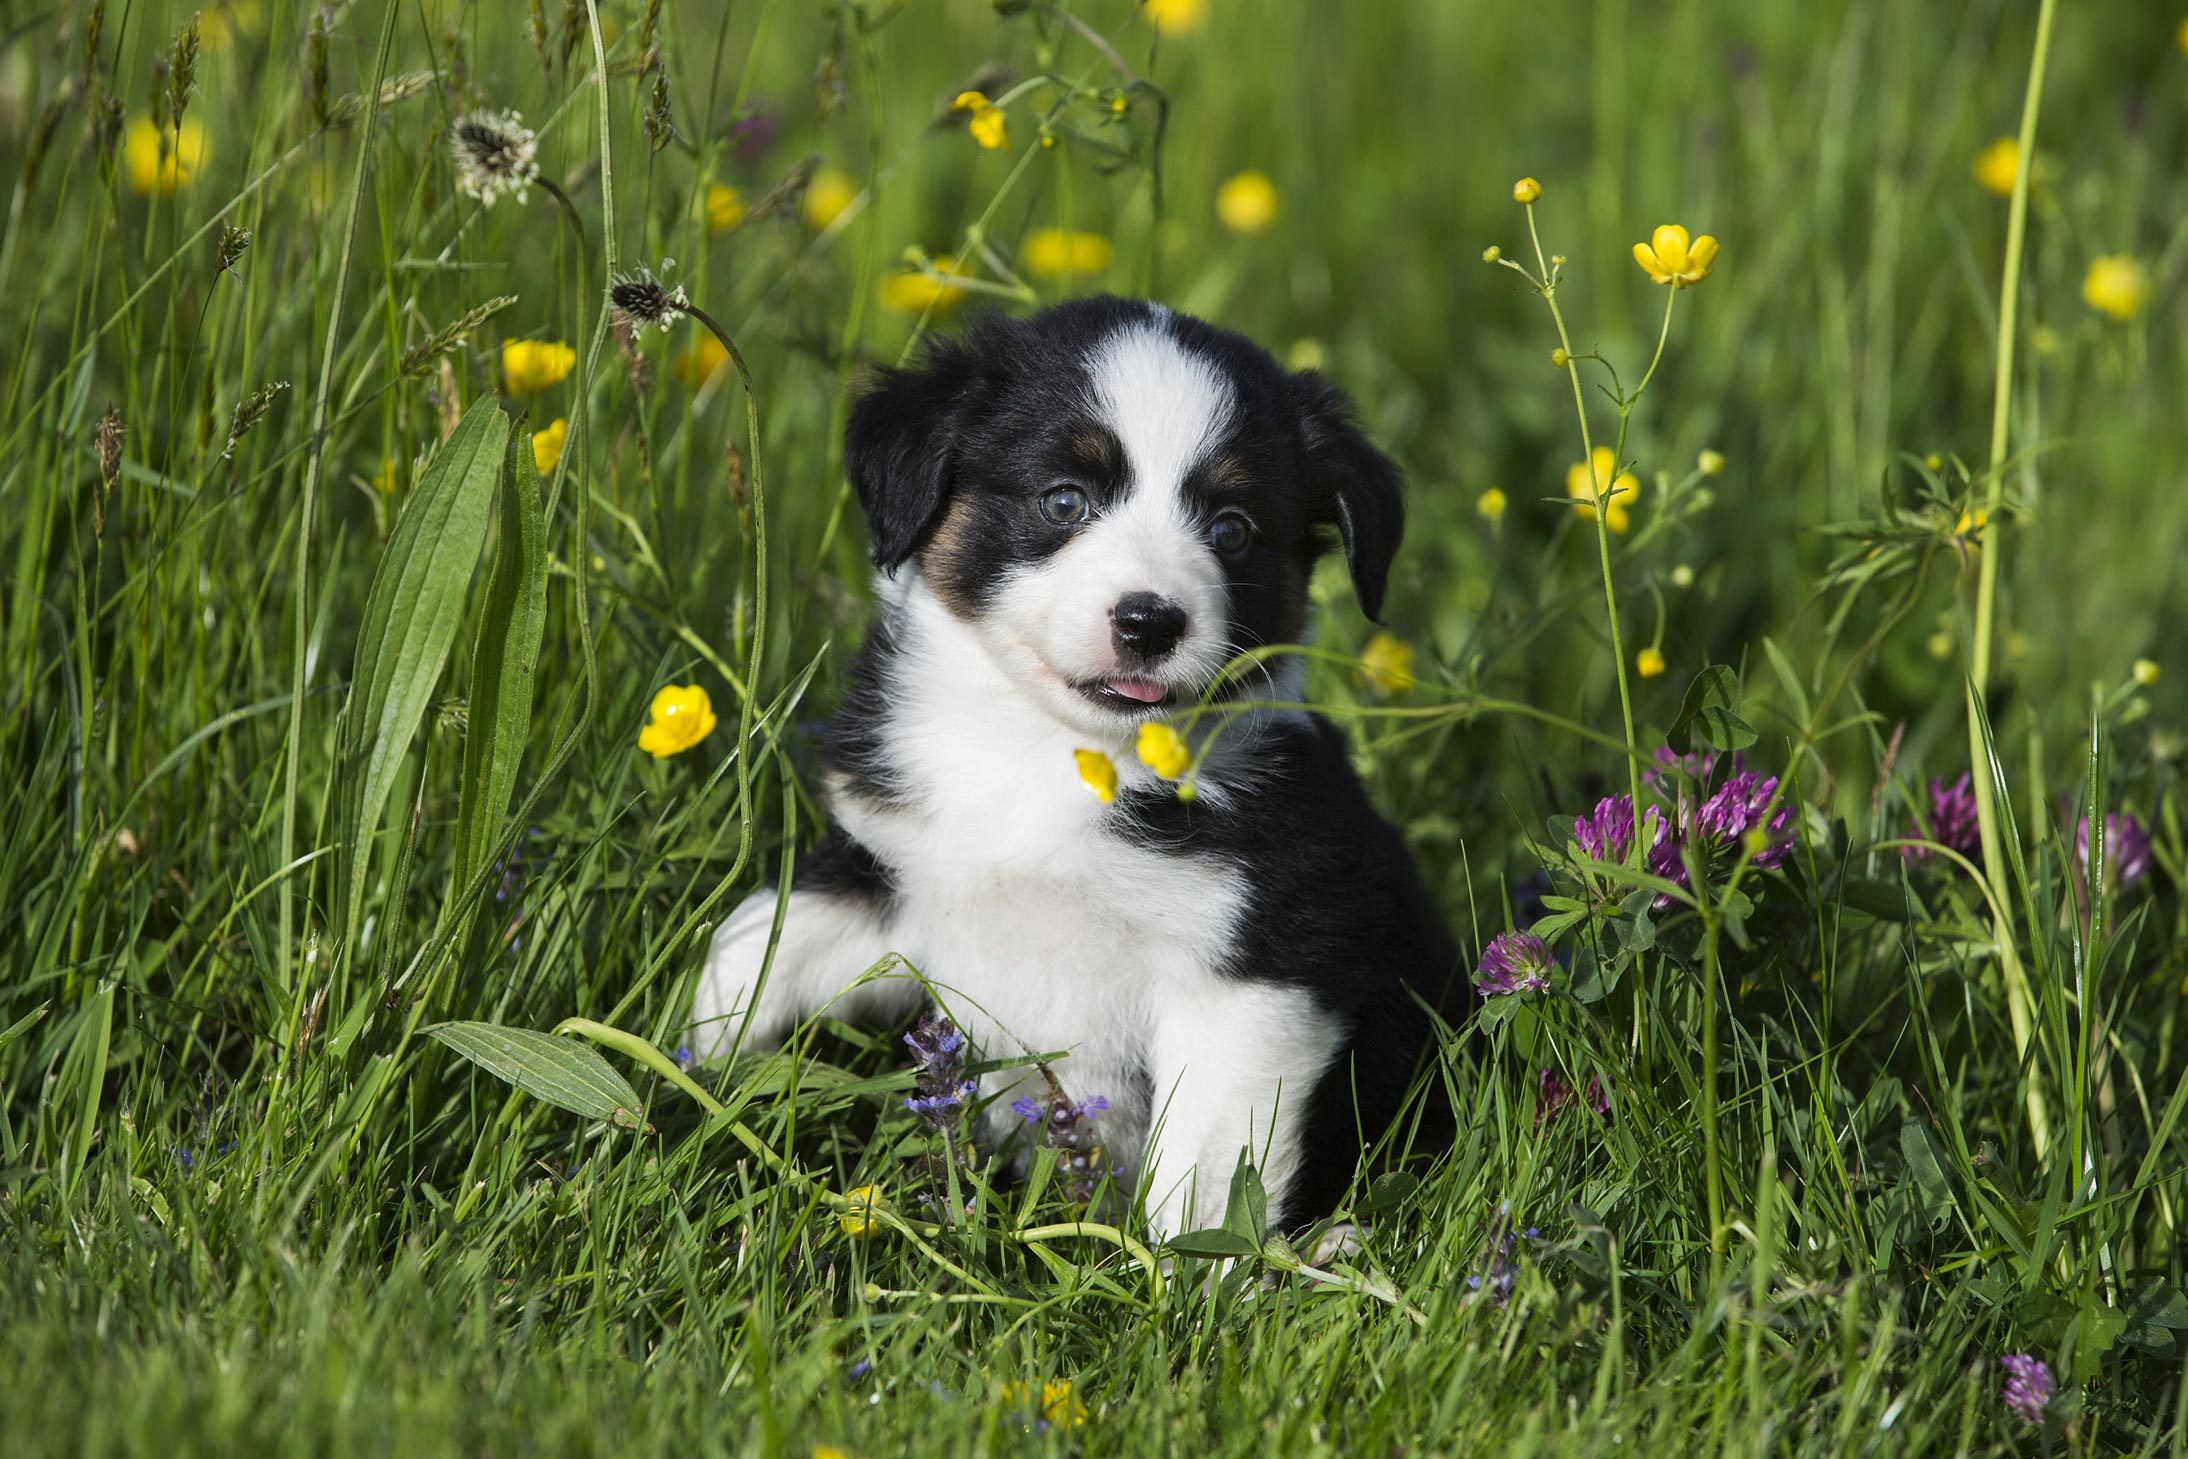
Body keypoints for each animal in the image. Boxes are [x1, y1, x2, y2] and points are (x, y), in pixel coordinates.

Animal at [691, 301, 1461, 1242]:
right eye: (1065, 499)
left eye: (1232, 528)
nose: (1150, 620)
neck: (1048, 753)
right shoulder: (893, 869)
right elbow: (754, 943)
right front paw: (690, 1069)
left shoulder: (1256, 967)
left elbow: (1205, 1172)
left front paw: (1185, 1278)